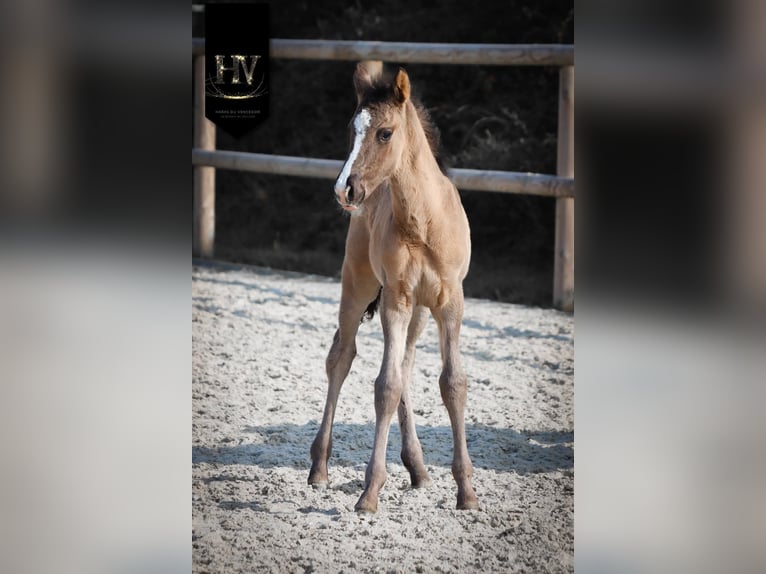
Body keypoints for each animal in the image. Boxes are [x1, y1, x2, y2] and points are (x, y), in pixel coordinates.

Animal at [308, 61, 478, 513]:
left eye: (384, 133)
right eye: (352, 128)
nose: (344, 189)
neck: (424, 222)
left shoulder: (450, 301)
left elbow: (451, 383)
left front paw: (466, 491)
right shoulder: (396, 299)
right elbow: (384, 387)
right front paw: (370, 492)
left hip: (418, 311)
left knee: (404, 364)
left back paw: (417, 468)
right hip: (358, 286)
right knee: (341, 357)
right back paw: (319, 467)